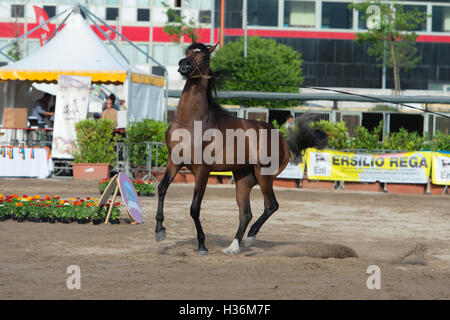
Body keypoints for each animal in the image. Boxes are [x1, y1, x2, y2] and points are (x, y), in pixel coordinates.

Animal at [156, 40, 326, 255]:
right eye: (187, 52)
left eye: (204, 56)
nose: (184, 64)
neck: (190, 122)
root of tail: (283, 141)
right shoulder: (174, 161)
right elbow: (162, 188)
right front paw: (159, 230)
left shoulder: (203, 169)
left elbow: (194, 207)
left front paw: (202, 244)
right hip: (243, 178)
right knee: (246, 213)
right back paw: (234, 245)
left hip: (263, 175)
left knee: (271, 205)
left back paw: (251, 236)